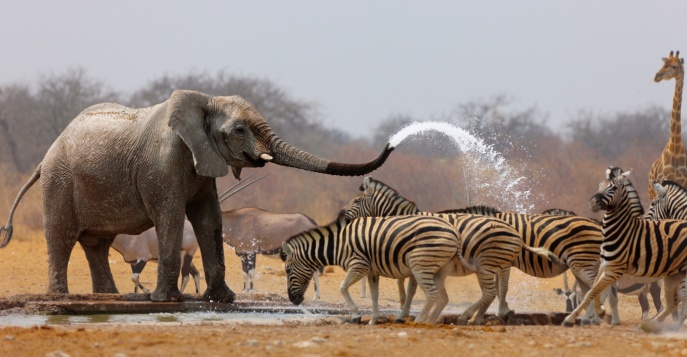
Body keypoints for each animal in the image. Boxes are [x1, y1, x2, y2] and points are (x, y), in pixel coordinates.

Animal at [0, 88, 392, 300]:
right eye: (240, 129)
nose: (391, 142)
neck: (204, 100)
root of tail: (44, 157)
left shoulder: (203, 161)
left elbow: (209, 218)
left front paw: (223, 300)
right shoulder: (162, 163)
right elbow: (172, 217)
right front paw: (165, 300)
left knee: (97, 243)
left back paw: (108, 297)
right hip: (59, 181)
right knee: (62, 237)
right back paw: (61, 298)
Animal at [280, 213, 462, 324]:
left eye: (287, 271)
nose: (293, 300)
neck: (339, 244)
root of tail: (454, 231)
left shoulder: (358, 265)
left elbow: (342, 288)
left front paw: (356, 316)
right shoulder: (372, 271)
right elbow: (374, 296)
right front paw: (373, 320)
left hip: (420, 264)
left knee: (432, 294)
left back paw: (419, 322)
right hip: (438, 268)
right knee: (442, 297)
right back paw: (429, 321)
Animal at [344, 177, 612, 324]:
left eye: (356, 202)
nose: (342, 217)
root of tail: (595, 223)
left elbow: (410, 289)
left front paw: (403, 314)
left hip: (580, 262)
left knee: (595, 287)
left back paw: (591, 316)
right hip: (579, 264)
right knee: (590, 288)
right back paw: (588, 317)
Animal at [560, 167, 687, 326]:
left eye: (613, 188)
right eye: (599, 185)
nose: (593, 202)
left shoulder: (612, 271)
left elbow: (599, 294)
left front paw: (596, 318)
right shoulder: (604, 268)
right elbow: (595, 292)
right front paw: (597, 316)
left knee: (666, 303)